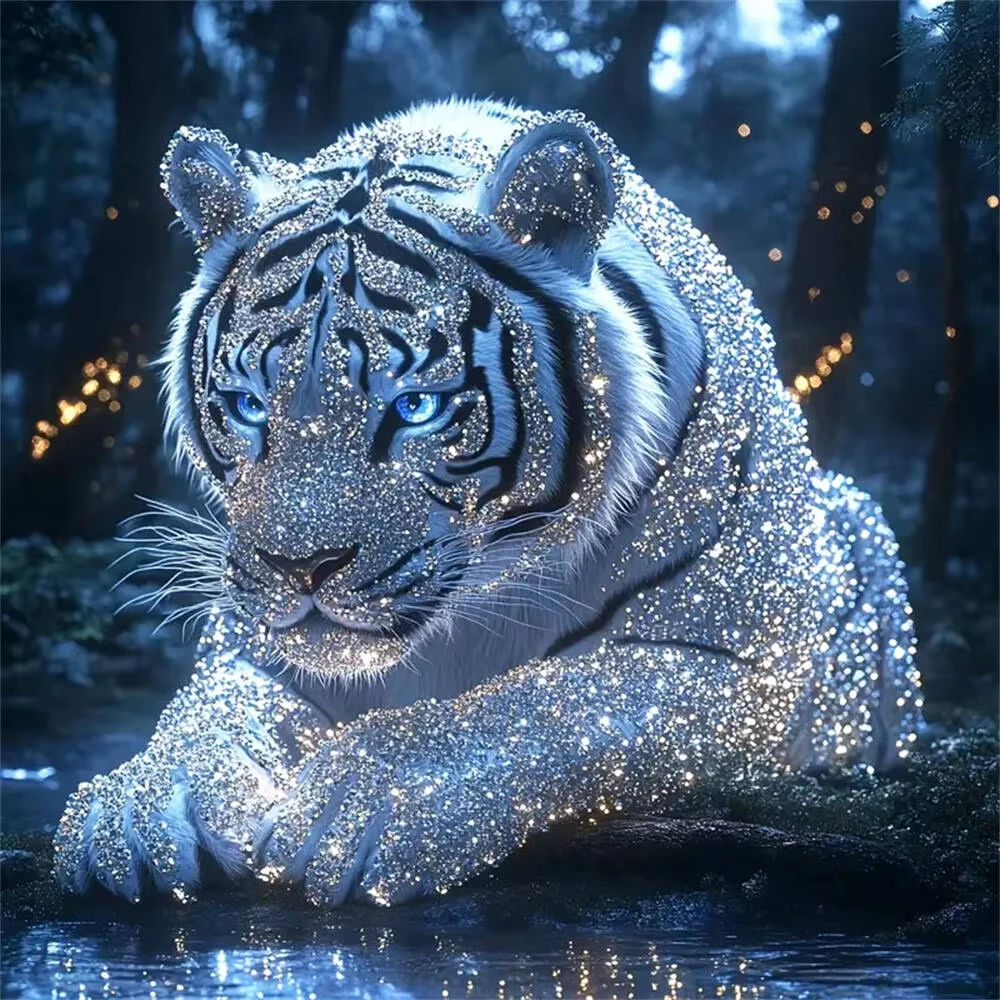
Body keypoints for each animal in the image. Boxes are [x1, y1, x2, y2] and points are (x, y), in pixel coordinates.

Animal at [54, 99, 924, 908]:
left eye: (415, 408)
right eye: (247, 405)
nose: (299, 568)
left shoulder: (741, 662)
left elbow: (550, 703)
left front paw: (363, 803)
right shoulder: (249, 646)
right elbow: (207, 715)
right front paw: (135, 807)